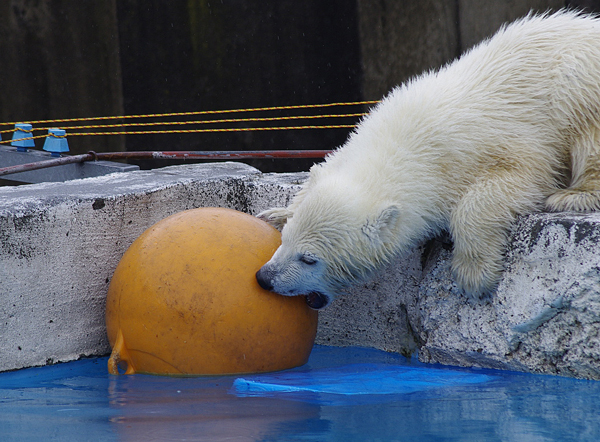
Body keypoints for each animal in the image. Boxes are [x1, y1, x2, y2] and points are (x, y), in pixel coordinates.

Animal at [254, 9, 600, 308]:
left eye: (309, 258)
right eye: (285, 240)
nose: (264, 278)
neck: (409, 140)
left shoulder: (504, 142)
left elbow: (516, 178)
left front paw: (474, 275)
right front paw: (275, 213)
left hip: (578, 77)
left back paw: (575, 196)